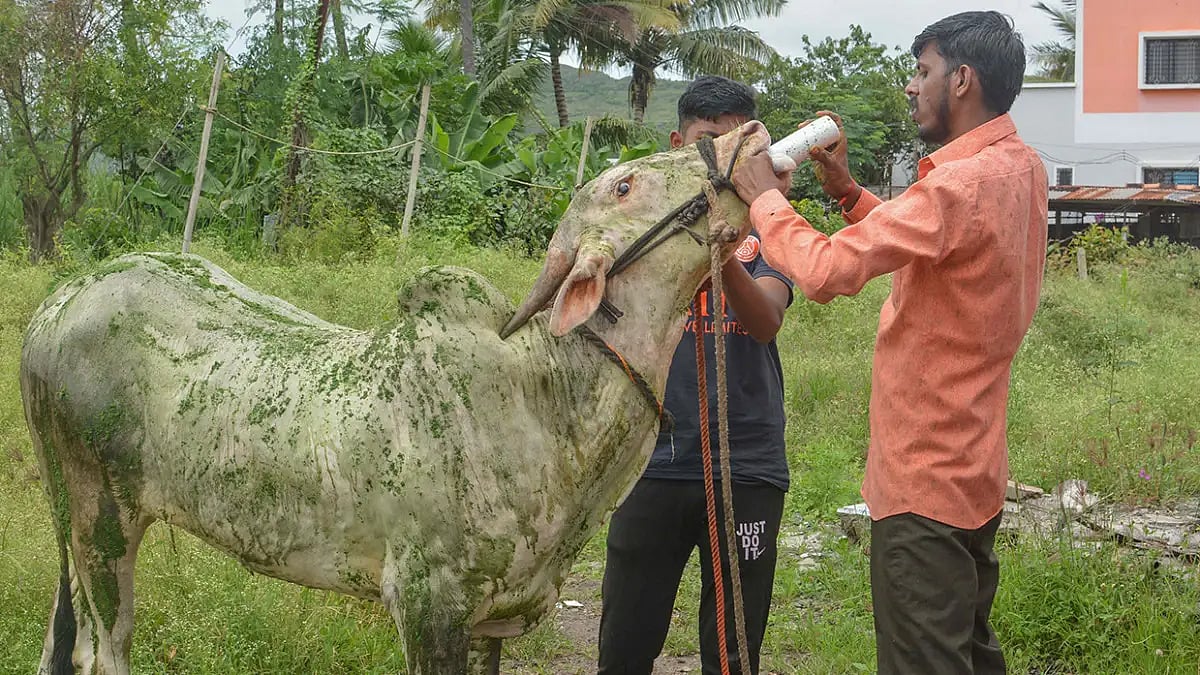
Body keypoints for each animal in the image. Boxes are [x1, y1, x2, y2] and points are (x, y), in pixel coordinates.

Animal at [22, 121, 770, 674]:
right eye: (624, 183)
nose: (751, 135)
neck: (545, 398)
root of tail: (58, 303)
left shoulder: (491, 620)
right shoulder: (426, 604)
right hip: (95, 520)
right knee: (98, 651)